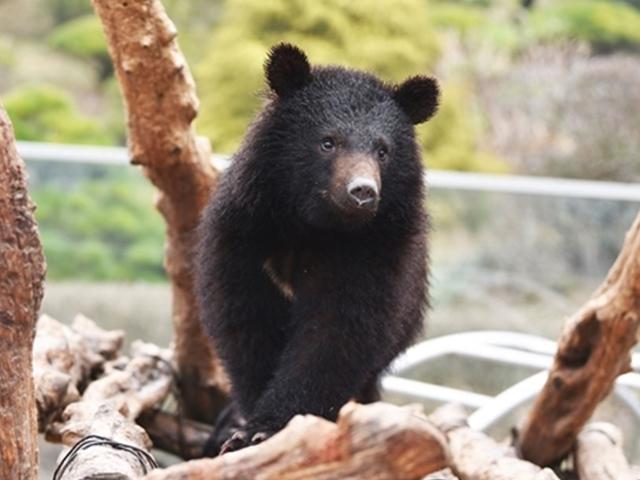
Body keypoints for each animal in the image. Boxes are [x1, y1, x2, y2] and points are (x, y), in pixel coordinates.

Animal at [195, 44, 438, 454]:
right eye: (328, 141)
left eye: (383, 151)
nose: (362, 192)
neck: (316, 225)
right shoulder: (245, 230)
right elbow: (247, 319)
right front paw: (244, 430)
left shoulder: (378, 250)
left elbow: (336, 331)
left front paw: (270, 427)